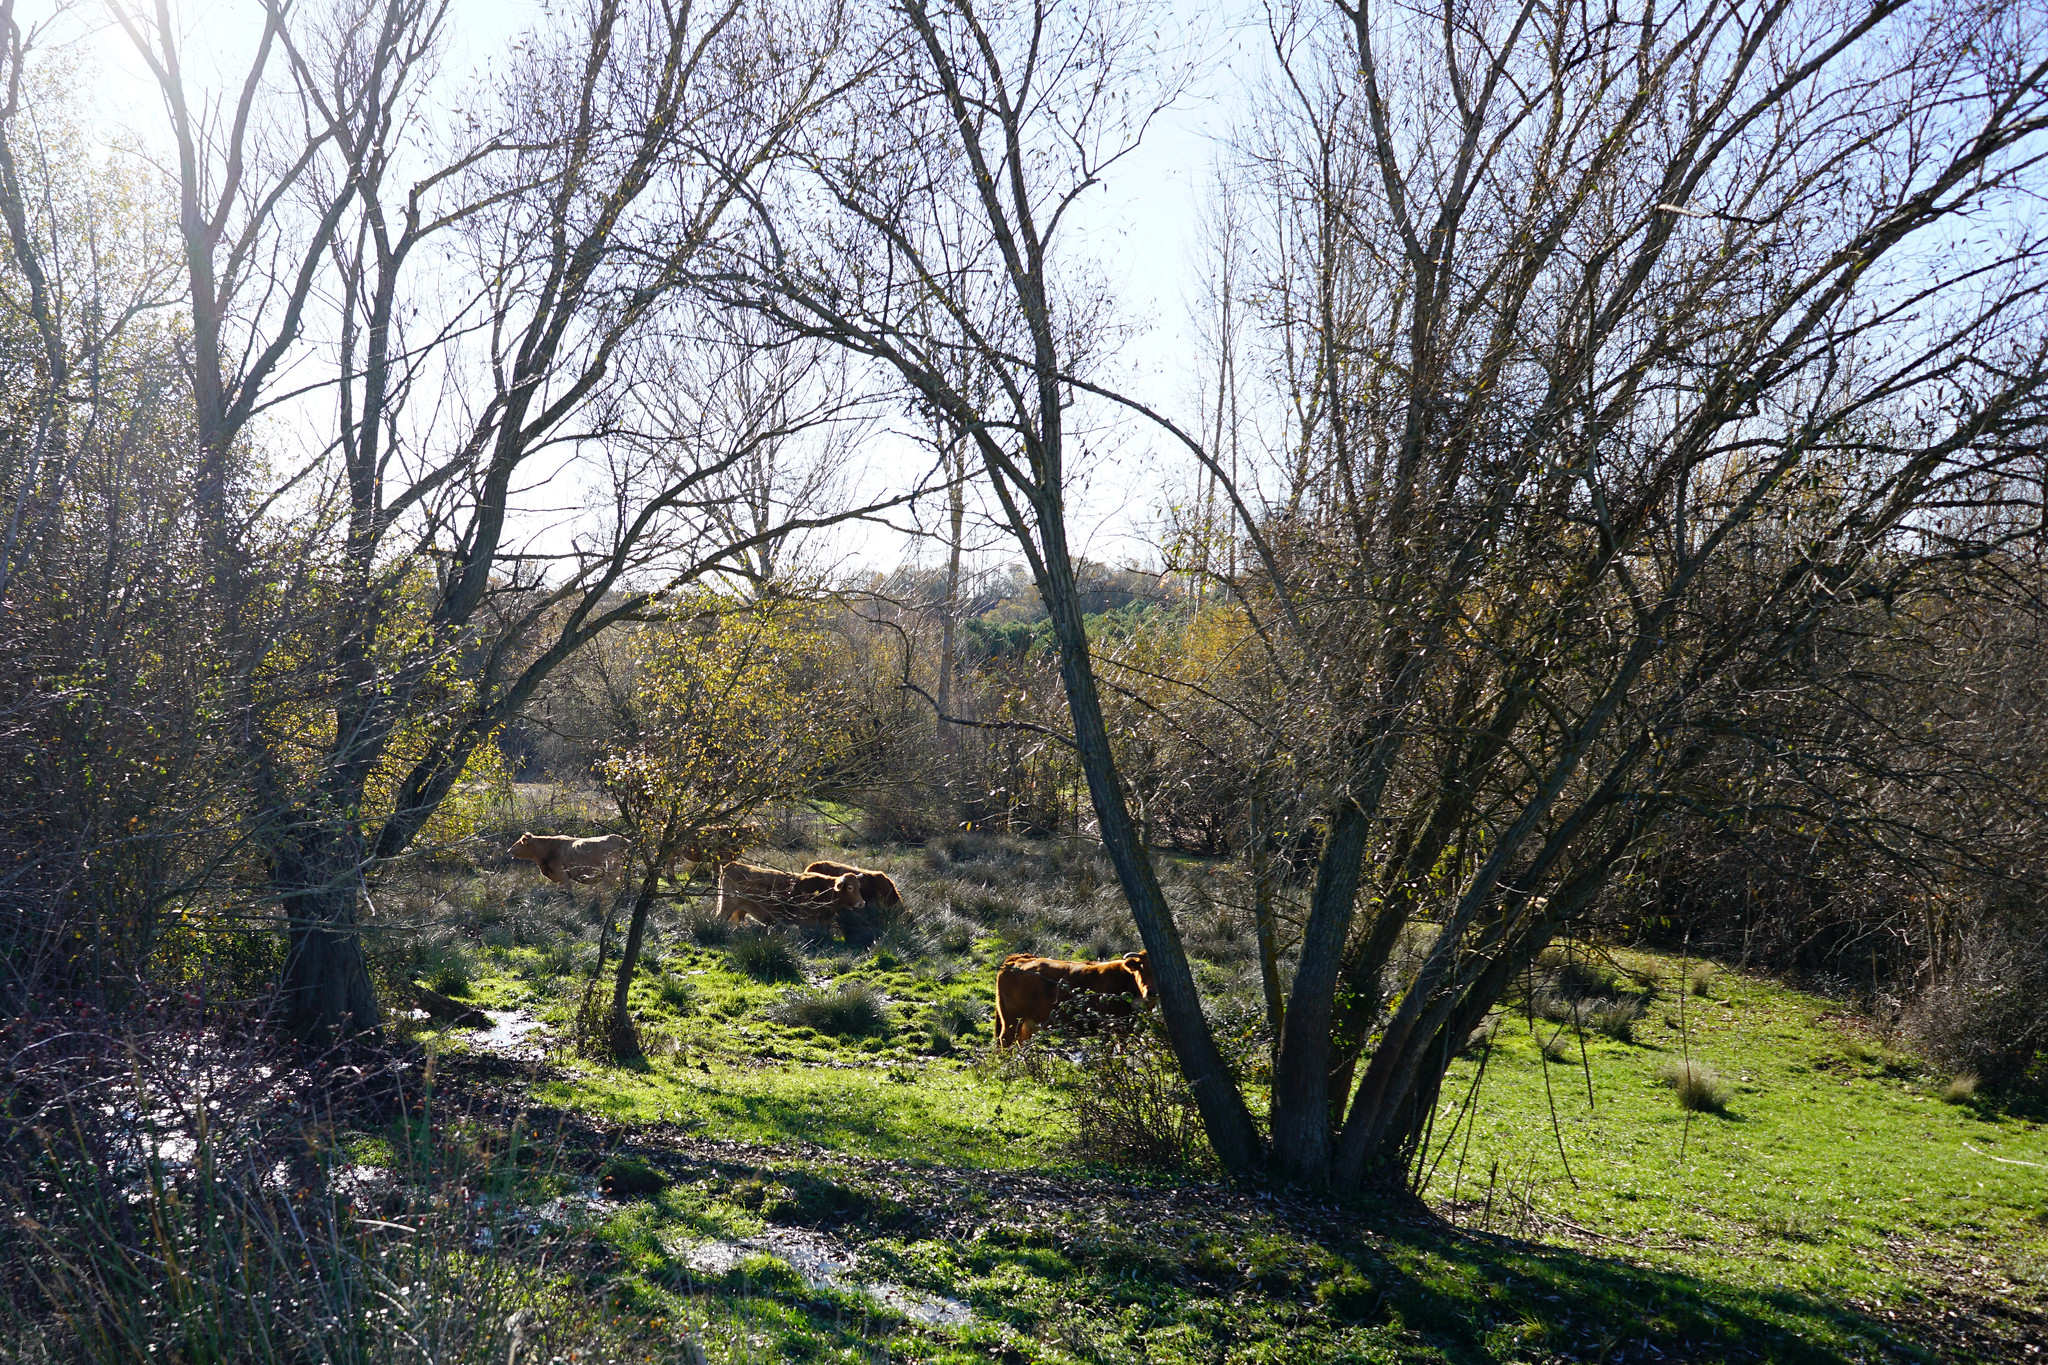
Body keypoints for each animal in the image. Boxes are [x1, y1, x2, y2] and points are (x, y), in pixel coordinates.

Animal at [720, 859, 864, 933]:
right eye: (850, 888)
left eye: (859, 886)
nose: (862, 903)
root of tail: (732, 865)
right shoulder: (806, 923)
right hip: (727, 906)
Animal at [995, 949, 1155, 1047]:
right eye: (1141, 969)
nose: (1152, 992)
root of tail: (1018, 958)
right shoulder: (1109, 1027)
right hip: (1012, 1018)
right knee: (1006, 1039)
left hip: (1027, 1022)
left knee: (1021, 1041)